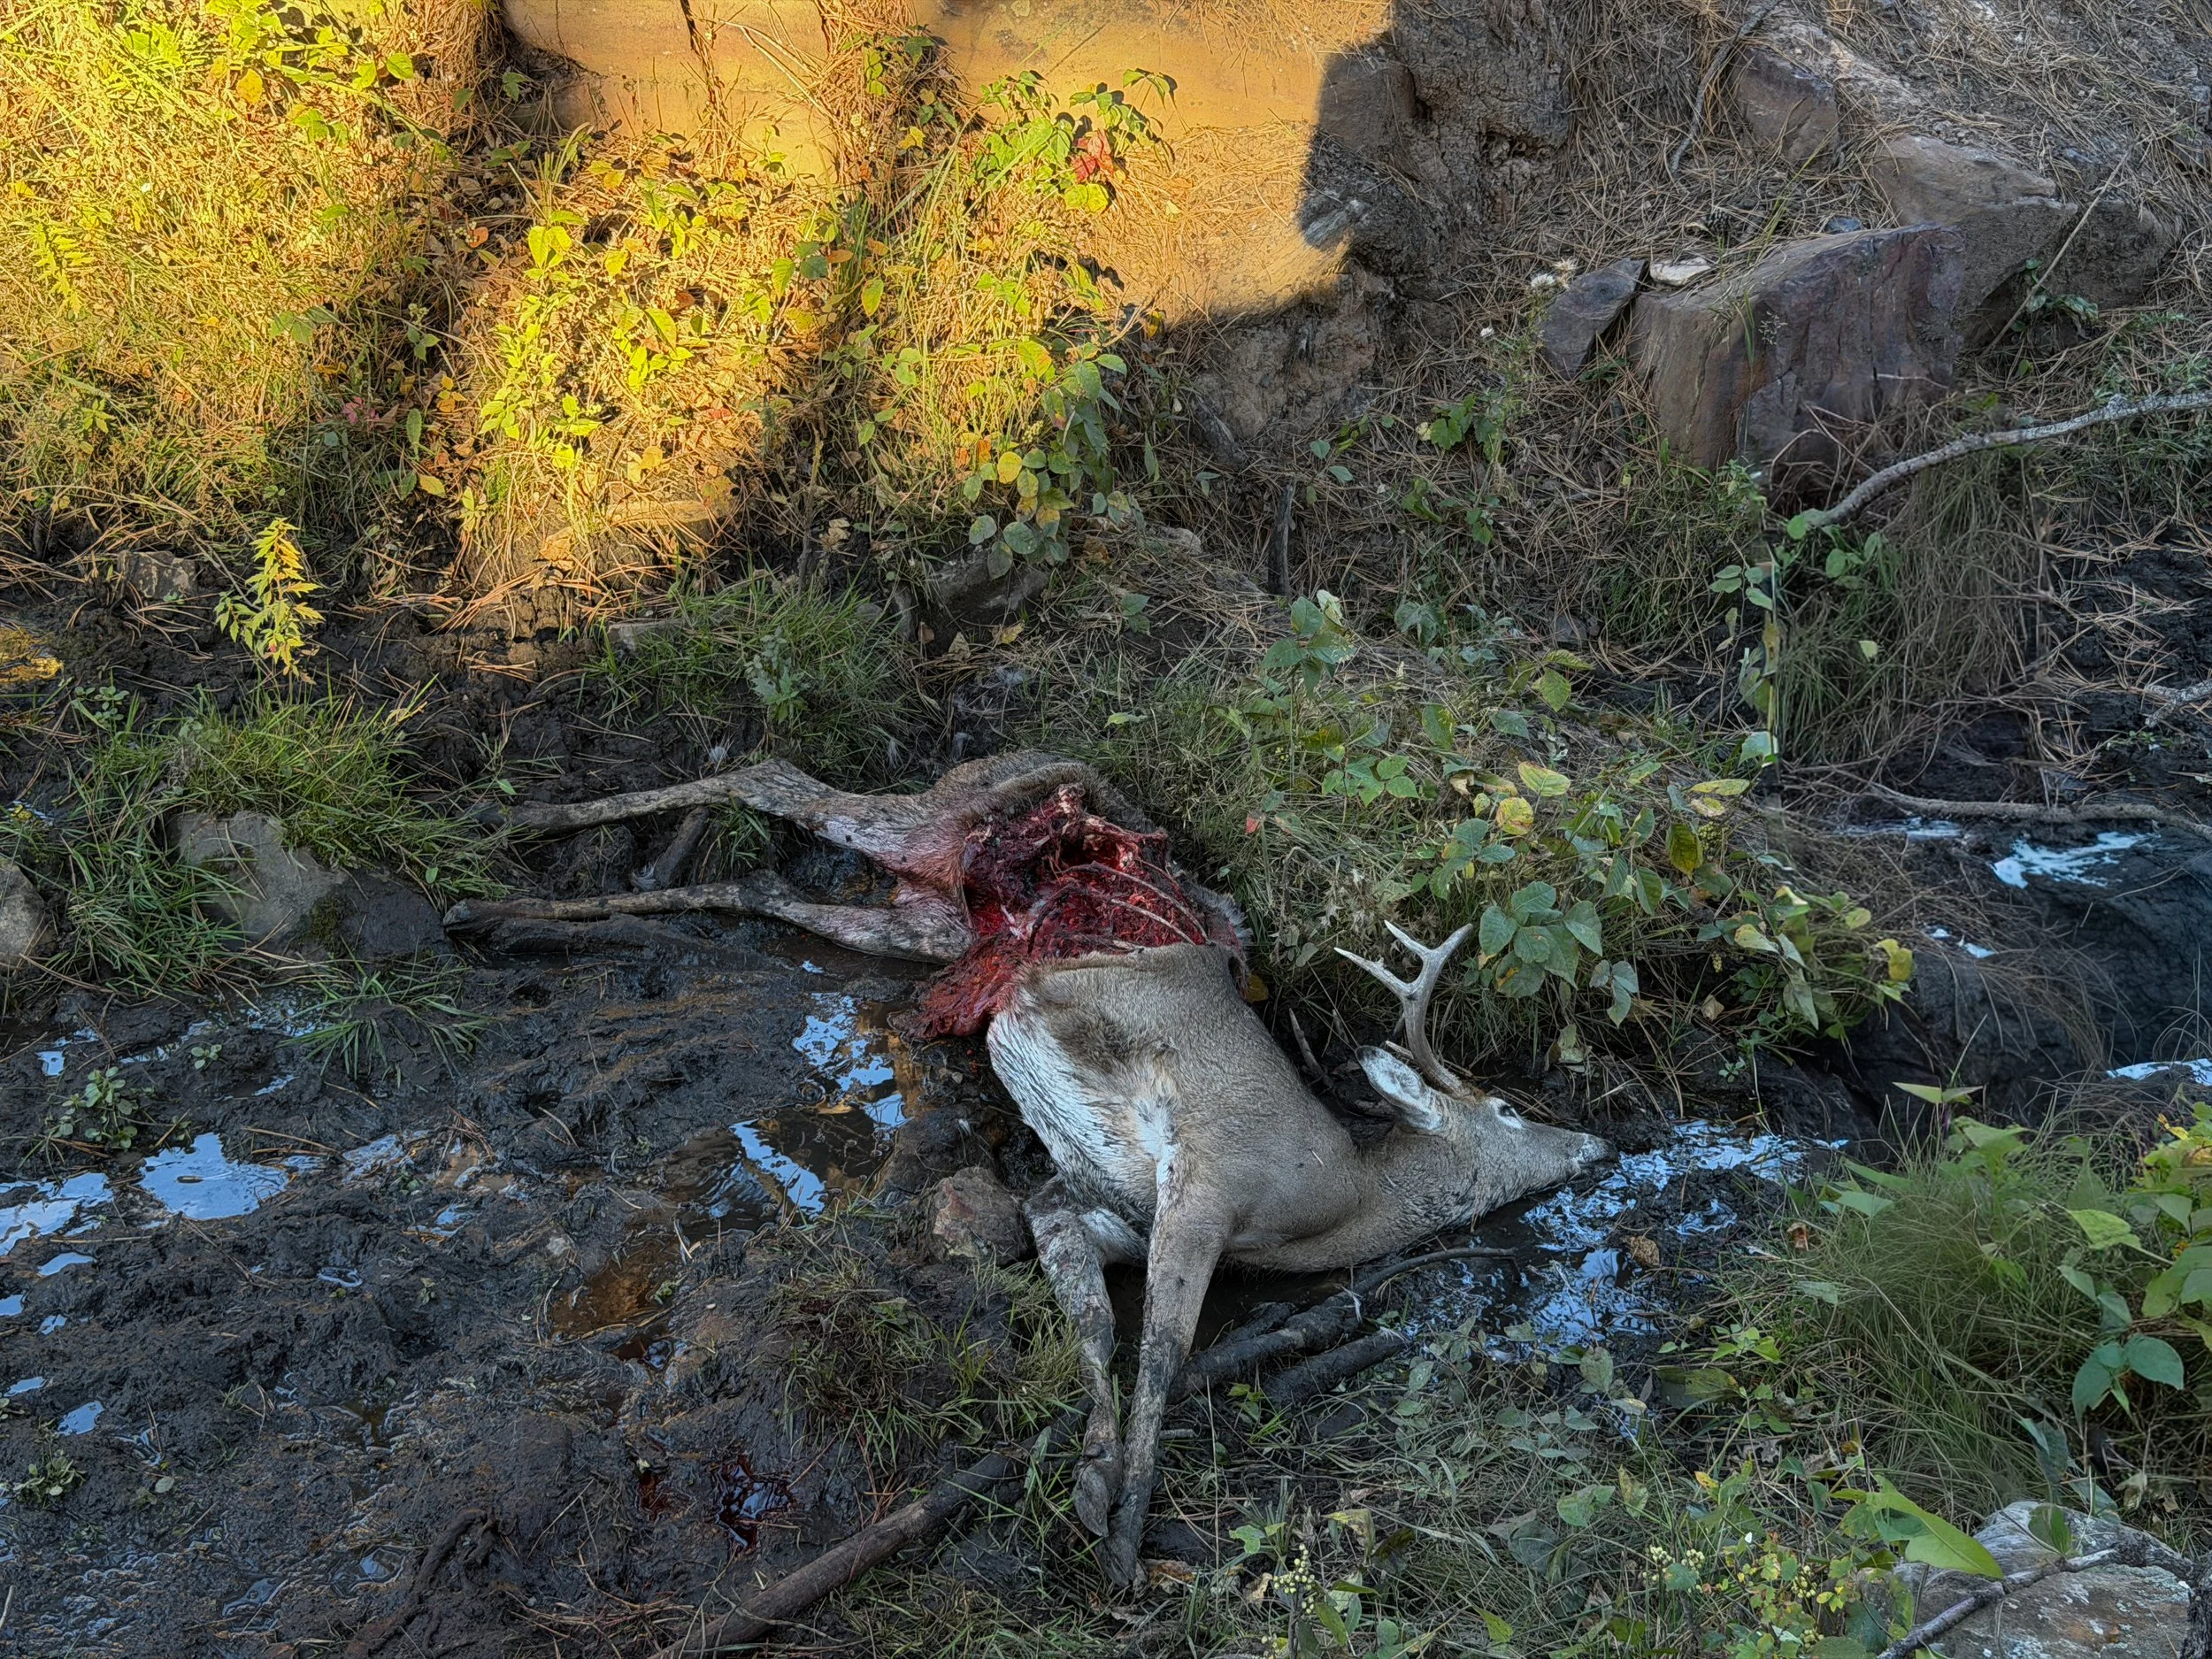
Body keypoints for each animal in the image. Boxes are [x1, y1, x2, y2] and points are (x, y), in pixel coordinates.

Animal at [455, 751, 1613, 1587]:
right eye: (1508, 1107)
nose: (1601, 1145)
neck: (1331, 1204)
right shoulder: (1211, 1177)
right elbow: (1160, 1357)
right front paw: (1125, 1543)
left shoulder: (1089, 1207)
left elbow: (1095, 1332)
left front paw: (1091, 1487)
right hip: (931, 820)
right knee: (767, 777)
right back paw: (504, 840)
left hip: (923, 923)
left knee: (763, 882)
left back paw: (505, 908)